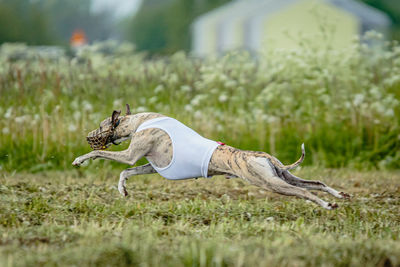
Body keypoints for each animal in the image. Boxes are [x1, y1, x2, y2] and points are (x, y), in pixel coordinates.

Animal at [72, 104, 350, 209]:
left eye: (100, 125)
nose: (89, 134)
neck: (140, 121)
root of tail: (263, 156)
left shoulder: (130, 154)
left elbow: (101, 153)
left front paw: (80, 159)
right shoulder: (152, 166)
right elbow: (125, 172)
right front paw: (123, 190)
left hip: (269, 182)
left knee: (305, 192)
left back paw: (328, 204)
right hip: (284, 176)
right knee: (316, 183)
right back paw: (339, 195)